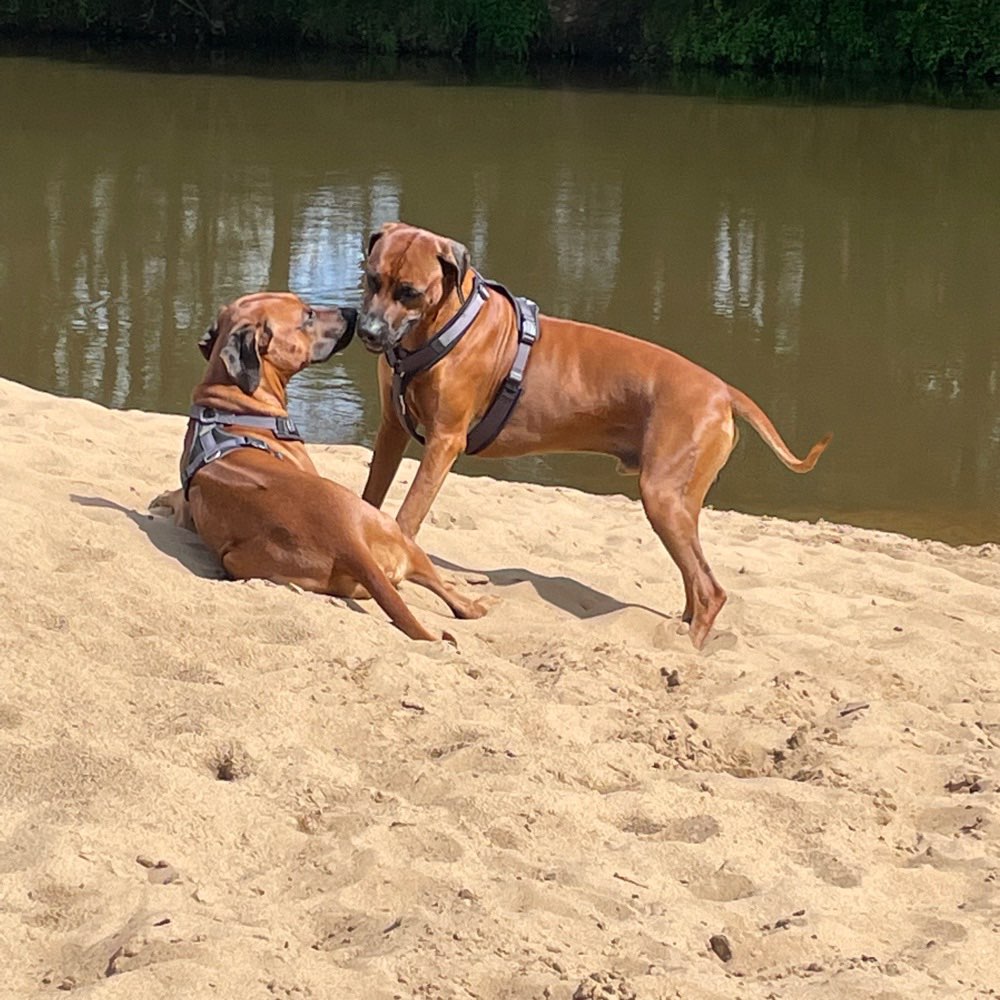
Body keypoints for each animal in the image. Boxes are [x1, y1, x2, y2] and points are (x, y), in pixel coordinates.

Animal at [149, 292, 488, 644]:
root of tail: (349, 541)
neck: (232, 403)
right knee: (456, 600)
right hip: (397, 534)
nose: (352, 312)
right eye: (308, 316)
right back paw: (477, 599)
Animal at [356, 223, 832, 652]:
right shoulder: (392, 430)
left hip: (662, 496)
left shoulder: (444, 442)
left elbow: (408, 516)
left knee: (710, 589)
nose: (368, 331)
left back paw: (688, 648)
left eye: (410, 292)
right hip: (679, 503)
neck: (446, 326)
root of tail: (723, 390)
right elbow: (371, 498)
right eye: (372, 278)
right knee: (695, 579)